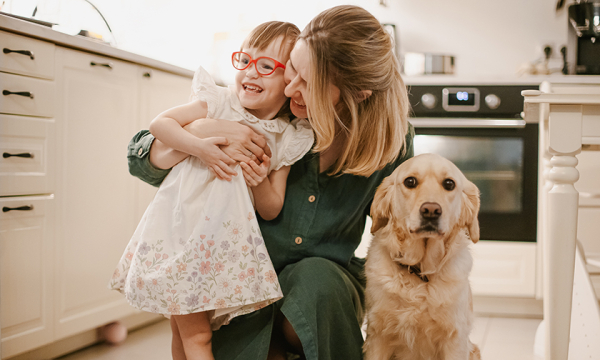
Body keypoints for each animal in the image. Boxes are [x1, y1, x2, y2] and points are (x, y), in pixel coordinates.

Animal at [360, 153, 482, 360]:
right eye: (410, 181)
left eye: (449, 184)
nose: (431, 210)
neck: (420, 272)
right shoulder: (378, 335)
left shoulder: (454, 339)